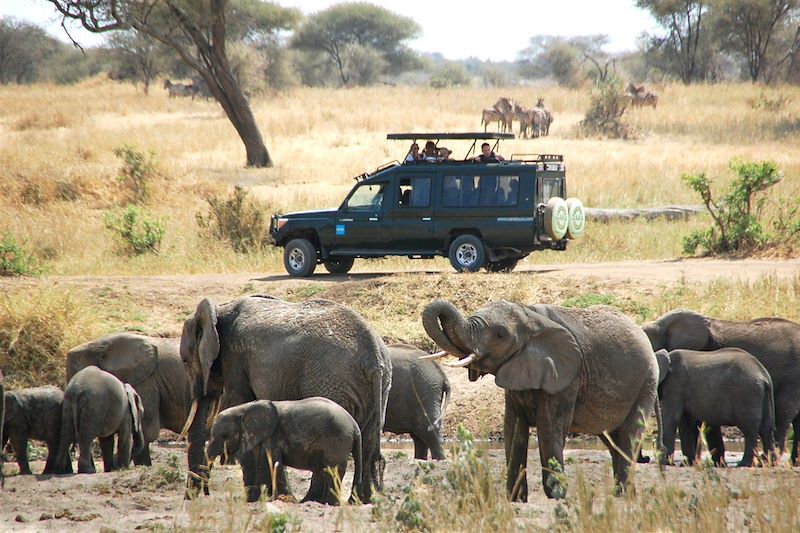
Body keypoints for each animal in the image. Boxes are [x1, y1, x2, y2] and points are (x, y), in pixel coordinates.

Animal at [209, 396, 366, 504]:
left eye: (224, 436)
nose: (207, 494)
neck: (244, 409)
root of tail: (355, 426)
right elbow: (251, 464)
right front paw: (251, 499)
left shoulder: (270, 437)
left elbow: (270, 464)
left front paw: (278, 499)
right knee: (325, 470)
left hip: (337, 441)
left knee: (332, 471)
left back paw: (329, 504)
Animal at [422, 300, 660, 498]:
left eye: (500, 335)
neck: (530, 315)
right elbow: (513, 428)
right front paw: (515, 499)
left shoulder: (566, 377)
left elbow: (549, 426)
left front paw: (557, 495)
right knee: (612, 440)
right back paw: (625, 494)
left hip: (646, 382)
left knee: (629, 436)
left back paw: (622, 494)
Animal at [644, 310, 800, 464]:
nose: (646, 459)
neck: (659, 325)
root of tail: (765, 378)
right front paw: (710, 462)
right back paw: (789, 462)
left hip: (788, 378)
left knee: (781, 415)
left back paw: (762, 461)